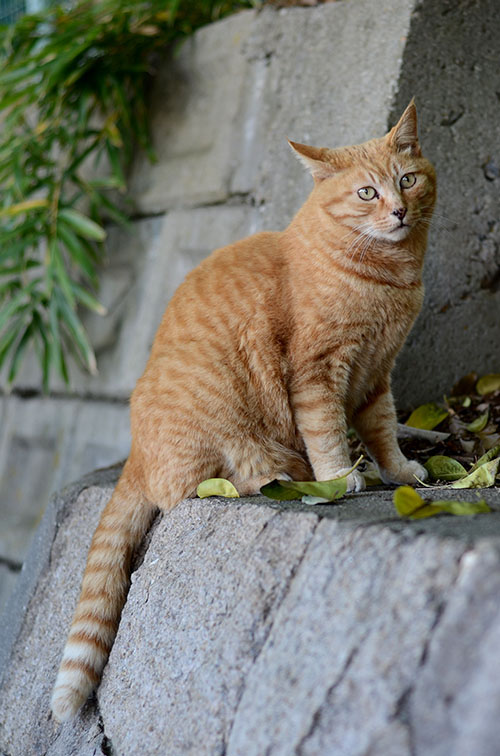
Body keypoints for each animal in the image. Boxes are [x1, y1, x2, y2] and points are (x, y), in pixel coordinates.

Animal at [49, 102, 434, 720]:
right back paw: (282, 476)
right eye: (366, 192)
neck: (387, 277)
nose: (398, 211)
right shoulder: (317, 372)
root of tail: (134, 454)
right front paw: (339, 475)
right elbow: (327, 430)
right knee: (197, 488)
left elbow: (380, 431)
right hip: (225, 441)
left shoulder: (377, 375)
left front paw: (397, 470)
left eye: (407, 181)